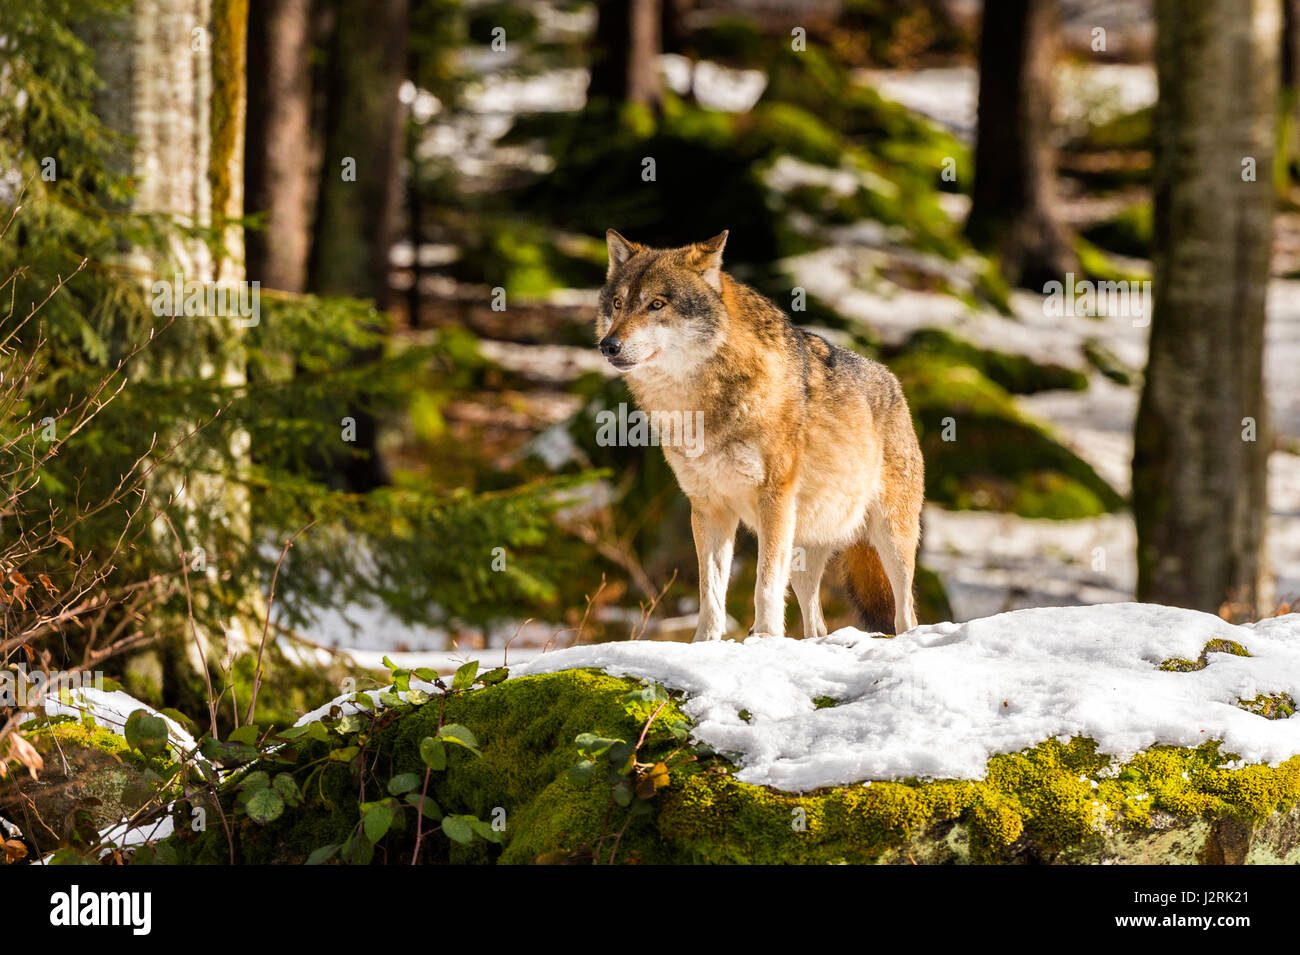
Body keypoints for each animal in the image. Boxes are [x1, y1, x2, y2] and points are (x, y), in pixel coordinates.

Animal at [596, 229, 925, 640]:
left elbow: (764, 583)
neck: (697, 404)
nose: (607, 345)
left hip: (891, 537)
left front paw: (765, 636)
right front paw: (704, 642)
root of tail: (892, 379)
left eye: (657, 304)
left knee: (906, 610)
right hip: (804, 549)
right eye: (618, 303)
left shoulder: (774, 499)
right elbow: (710, 592)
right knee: (816, 621)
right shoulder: (708, 507)